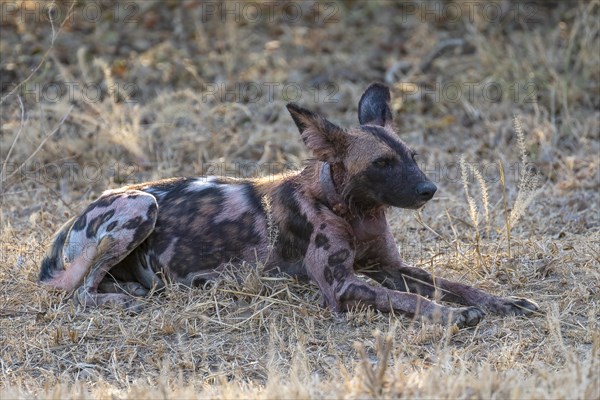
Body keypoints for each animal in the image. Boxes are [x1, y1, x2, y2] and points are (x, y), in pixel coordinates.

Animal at [41, 83, 540, 326]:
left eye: (412, 157)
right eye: (382, 163)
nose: (429, 189)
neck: (352, 210)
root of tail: (70, 222)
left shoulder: (389, 266)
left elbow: (454, 284)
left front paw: (502, 302)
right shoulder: (343, 286)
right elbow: (410, 299)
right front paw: (454, 317)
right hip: (141, 206)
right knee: (80, 292)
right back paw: (125, 299)